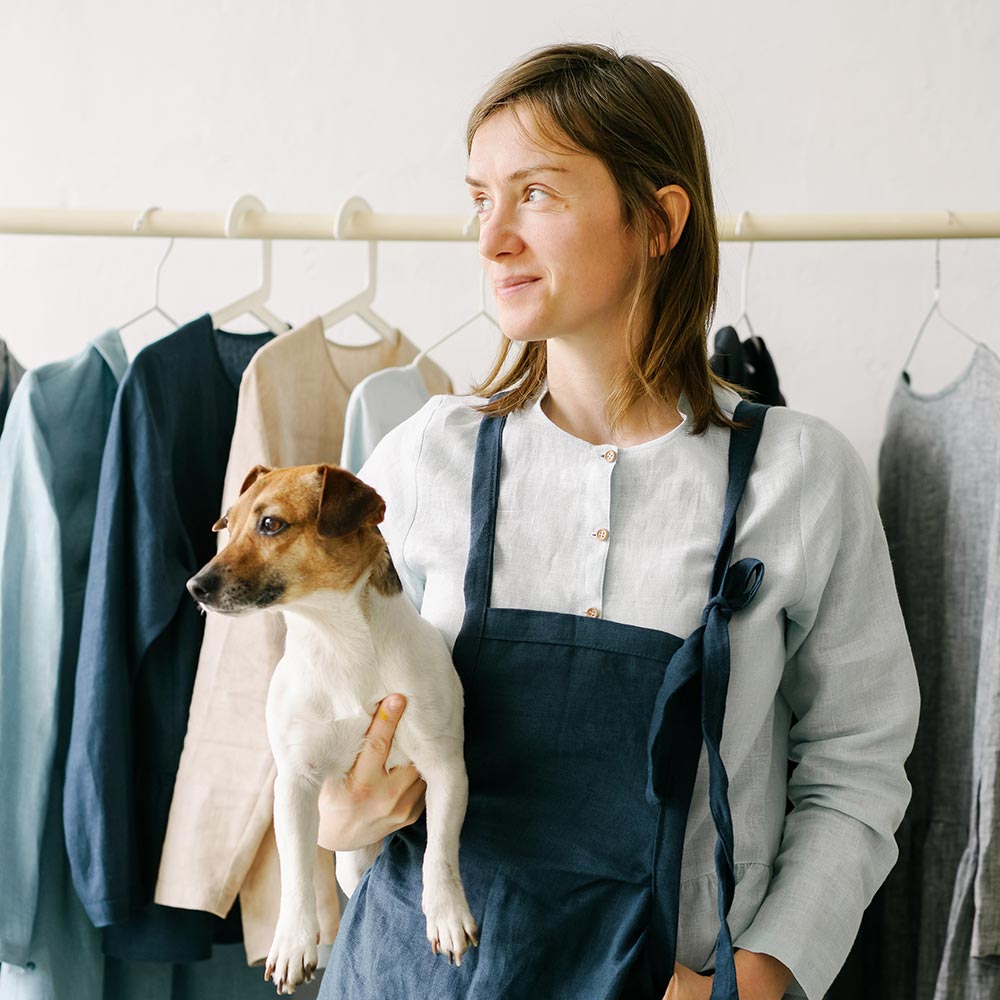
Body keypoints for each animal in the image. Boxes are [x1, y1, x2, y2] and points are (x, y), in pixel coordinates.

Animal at [190, 466, 480, 992]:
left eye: (270, 524)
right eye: (226, 525)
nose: (194, 586)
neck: (336, 641)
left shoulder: (446, 766)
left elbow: (441, 853)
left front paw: (446, 914)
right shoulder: (295, 783)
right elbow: (297, 874)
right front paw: (293, 943)